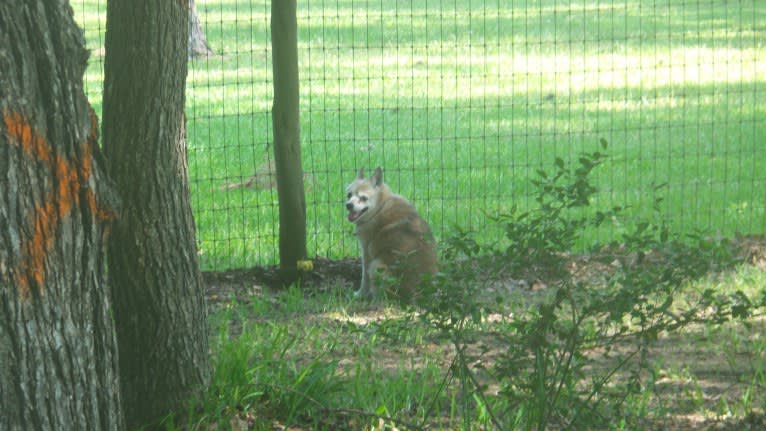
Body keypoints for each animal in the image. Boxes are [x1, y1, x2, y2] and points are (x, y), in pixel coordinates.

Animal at [346, 167, 438, 302]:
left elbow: (364, 278)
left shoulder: (367, 253)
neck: (380, 207)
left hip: (376, 266)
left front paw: (360, 294)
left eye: (363, 198)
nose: (348, 205)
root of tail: (421, 294)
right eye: (349, 195)